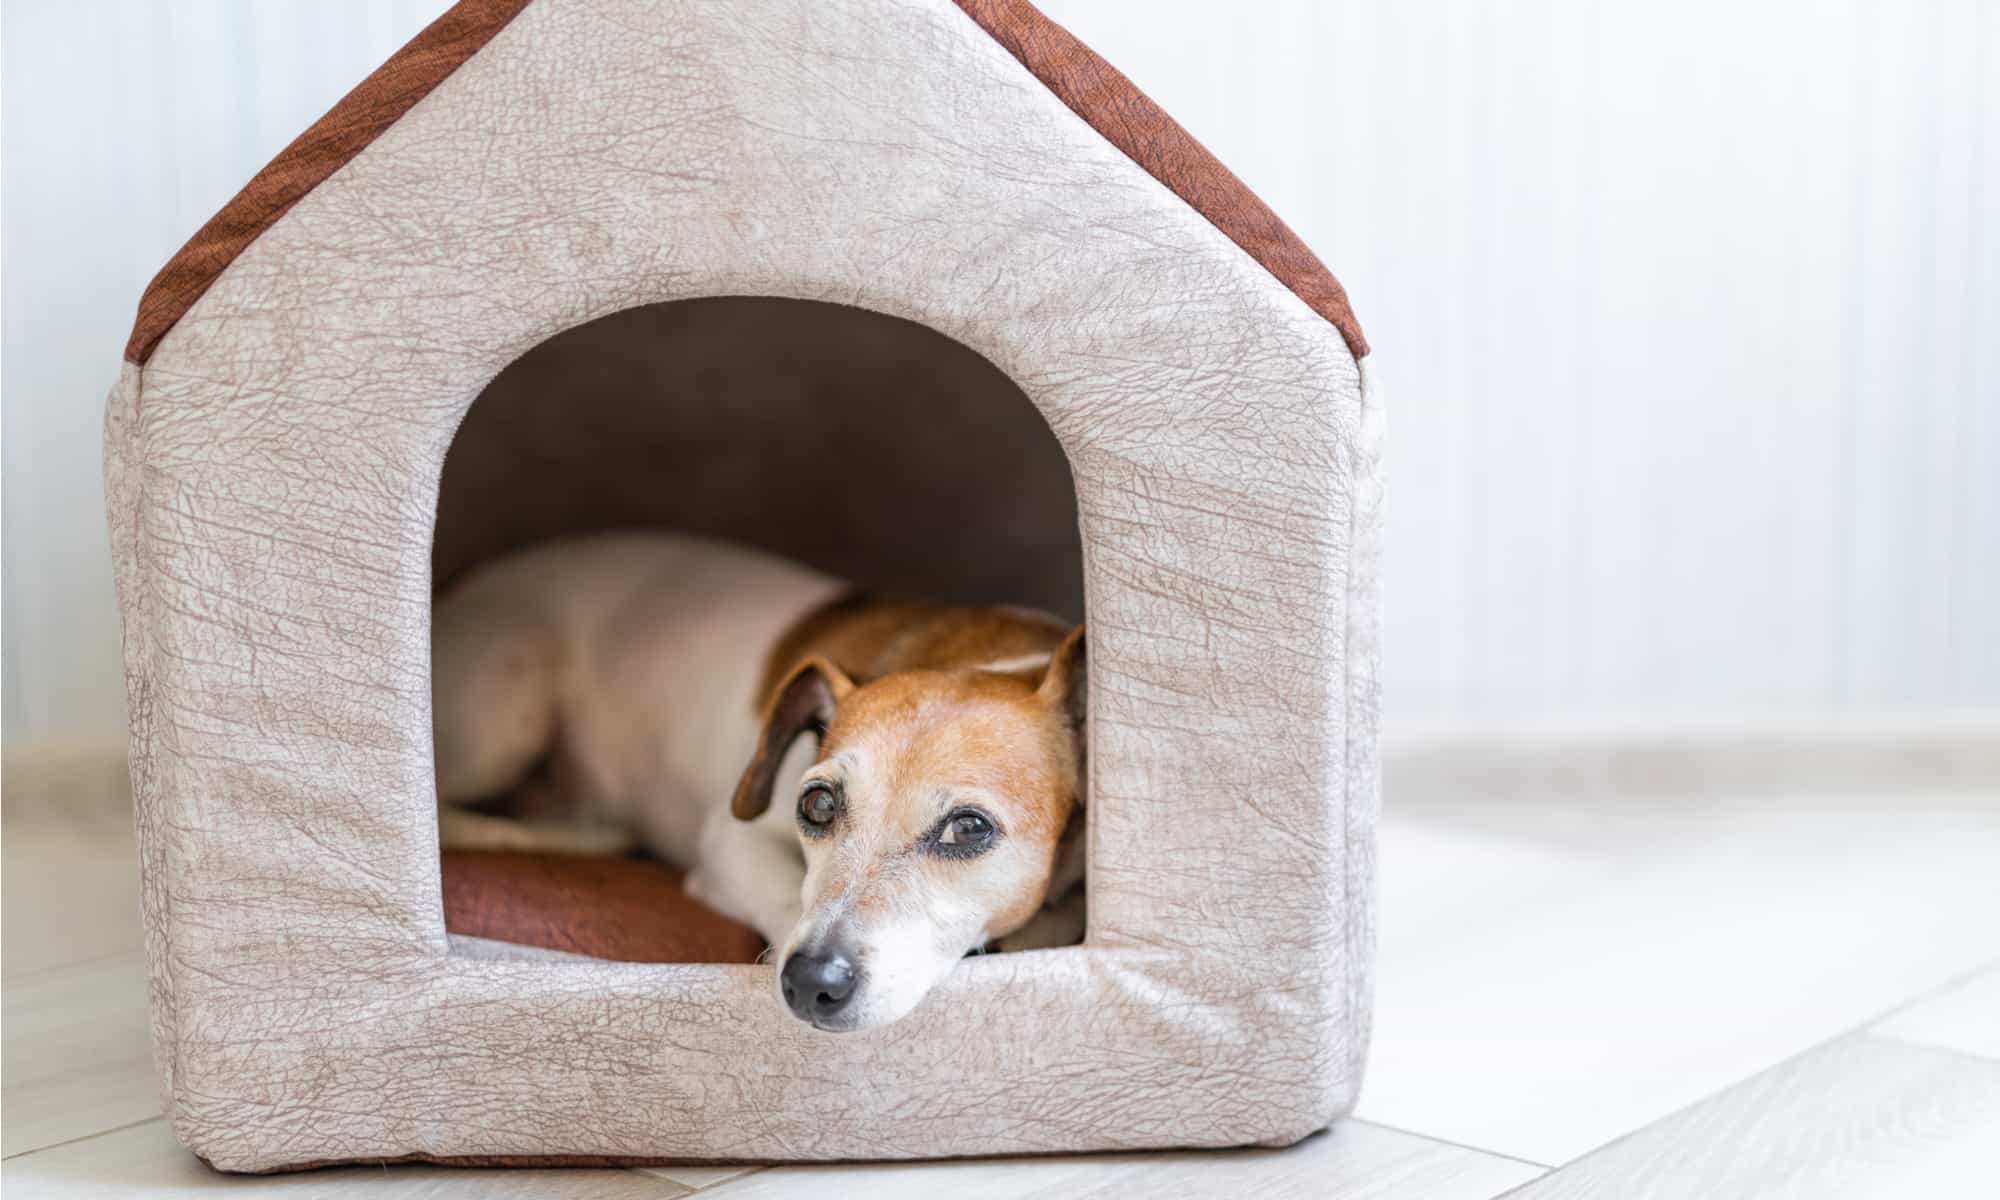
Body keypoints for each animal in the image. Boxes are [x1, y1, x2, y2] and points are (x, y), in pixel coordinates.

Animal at [432, 536, 1088, 1032]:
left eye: (968, 828)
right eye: (818, 804)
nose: (813, 983)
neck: (988, 658)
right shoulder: (731, 841)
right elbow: (783, 898)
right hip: (510, 710)